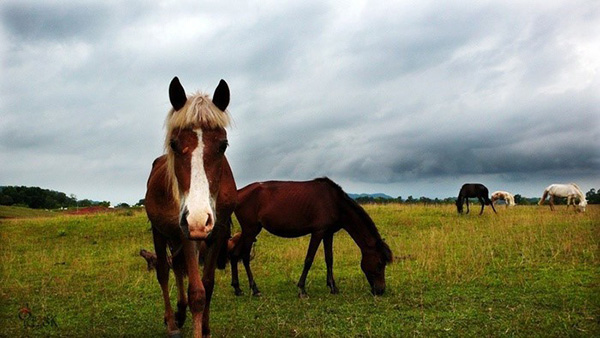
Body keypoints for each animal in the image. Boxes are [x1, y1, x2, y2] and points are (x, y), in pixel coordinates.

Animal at [145, 77, 237, 338]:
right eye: (174, 144)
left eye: (223, 145)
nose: (197, 218)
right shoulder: (187, 232)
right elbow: (197, 292)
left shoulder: (217, 231)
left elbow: (208, 284)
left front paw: (204, 328)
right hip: (161, 232)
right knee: (164, 271)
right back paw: (172, 323)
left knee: (176, 267)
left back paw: (180, 312)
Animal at [230, 178, 394, 298]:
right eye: (380, 264)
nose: (380, 290)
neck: (335, 202)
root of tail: (237, 194)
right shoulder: (318, 232)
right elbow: (309, 259)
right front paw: (302, 290)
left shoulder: (328, 233)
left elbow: (329, 259)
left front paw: (333, 287)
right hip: (250, 230)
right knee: (245, 257)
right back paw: (254, 289)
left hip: (249, 231)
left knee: (235, 254)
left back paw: (237, 289)